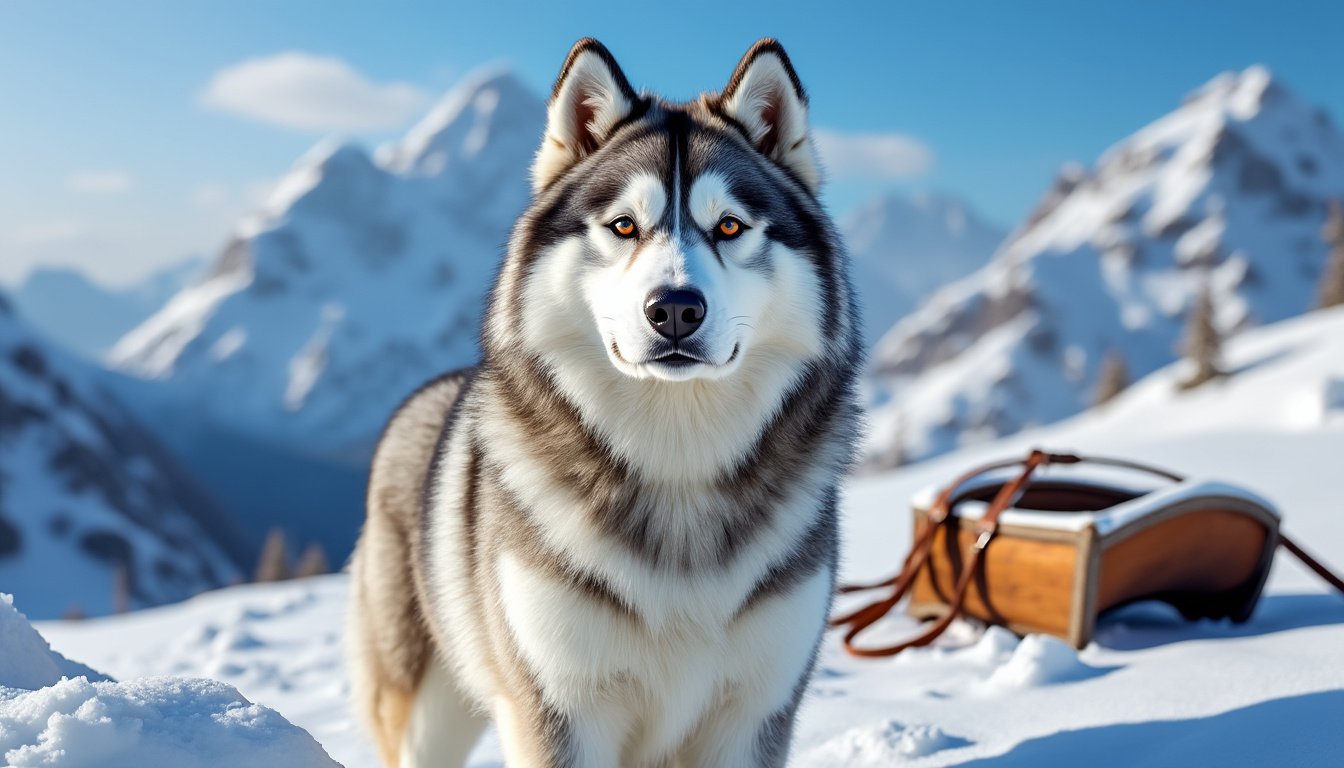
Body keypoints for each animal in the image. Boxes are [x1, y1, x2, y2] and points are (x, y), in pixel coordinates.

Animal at [349, 37, 860, 768]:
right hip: (426, 707)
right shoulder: (559, 709)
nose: (674, 308)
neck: (677, 468)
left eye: (730, 226)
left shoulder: (753, 712)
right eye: (623, 225)